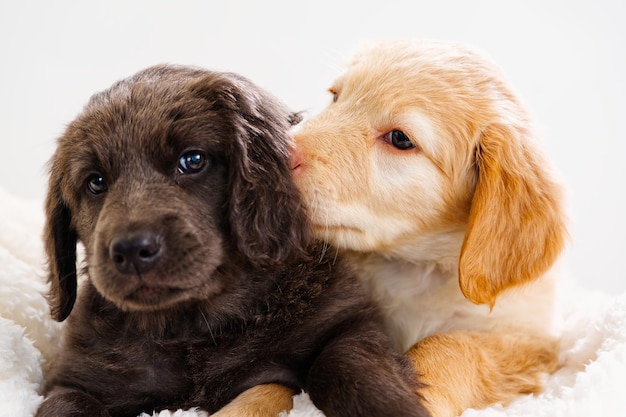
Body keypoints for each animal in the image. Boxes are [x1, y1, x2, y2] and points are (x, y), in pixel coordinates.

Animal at [39, 64, 428, 416]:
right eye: (95, 183)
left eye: (192, 160)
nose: (132, 250)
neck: (198, 325)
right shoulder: (75, 379)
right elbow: (67, 404)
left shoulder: (347, 321)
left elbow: (347, 363)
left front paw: (391, 406)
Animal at [288, 39, 564, 416]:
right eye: (335, 96)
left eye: (400, 139)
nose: (276, 152)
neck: (414, 268)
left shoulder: (530, 341)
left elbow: (453, 345)